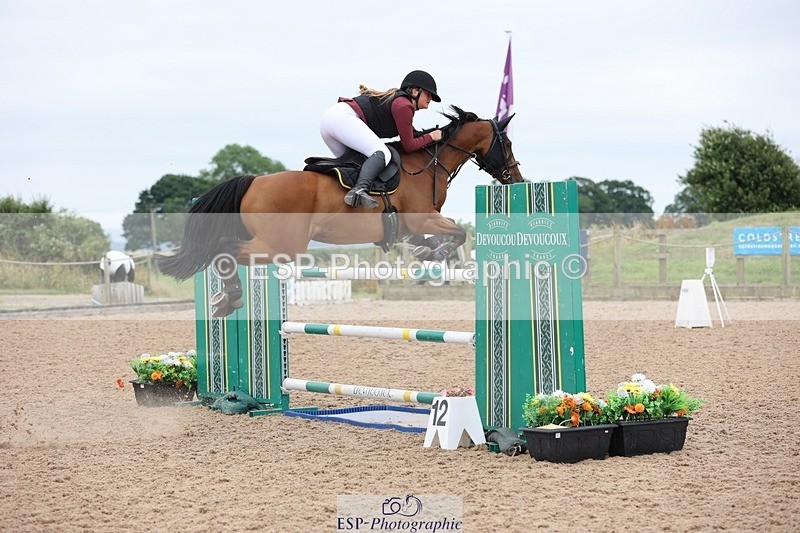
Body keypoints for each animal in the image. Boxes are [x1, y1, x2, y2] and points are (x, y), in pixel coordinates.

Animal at [159, 106, 524, 317]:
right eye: (506, 143)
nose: (517, 179)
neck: (427, 164)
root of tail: (253, 182)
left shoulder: (411, 224)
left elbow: (426, 239)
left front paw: (427, 251)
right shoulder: (423, 217)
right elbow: (458, 232)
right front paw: (439, 254)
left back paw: (227, 299)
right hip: (282, 246)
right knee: (224, 248)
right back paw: (231, 298)